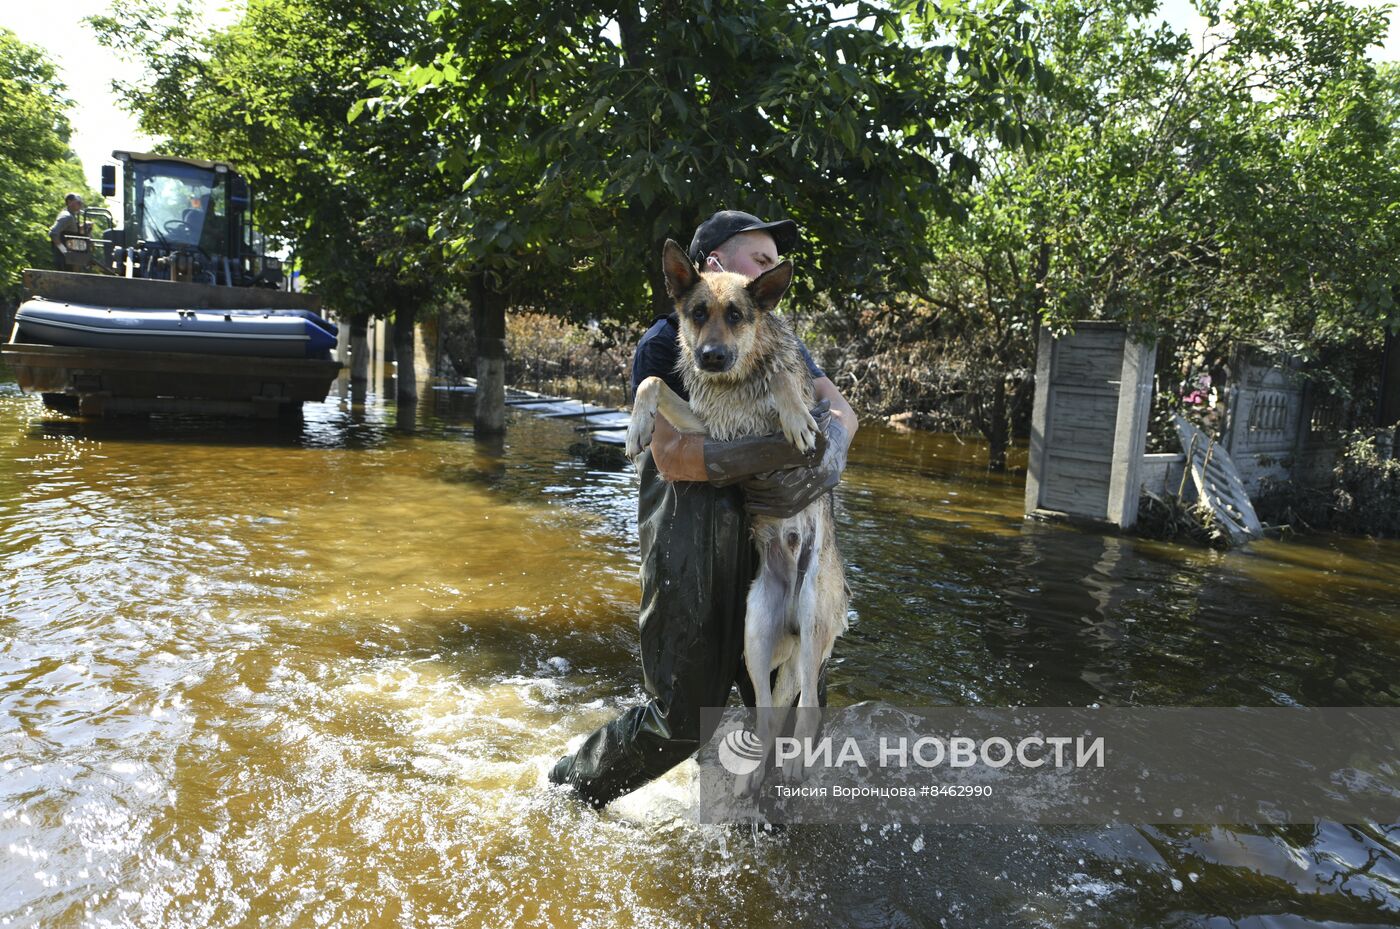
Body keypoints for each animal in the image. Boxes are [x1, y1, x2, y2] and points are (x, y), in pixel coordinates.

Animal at [630, 237, 845, 789]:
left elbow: (786, 381)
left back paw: (795, 765)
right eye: (697, 314)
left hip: (812, 618)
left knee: (807, 710)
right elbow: (654, 382)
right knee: (769, 714)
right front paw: (636, 427)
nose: (710, 357)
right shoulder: (709, 431)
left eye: (736, 315)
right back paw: (755, 775)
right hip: (755, 633)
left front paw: (794, 414)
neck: (737, 379)